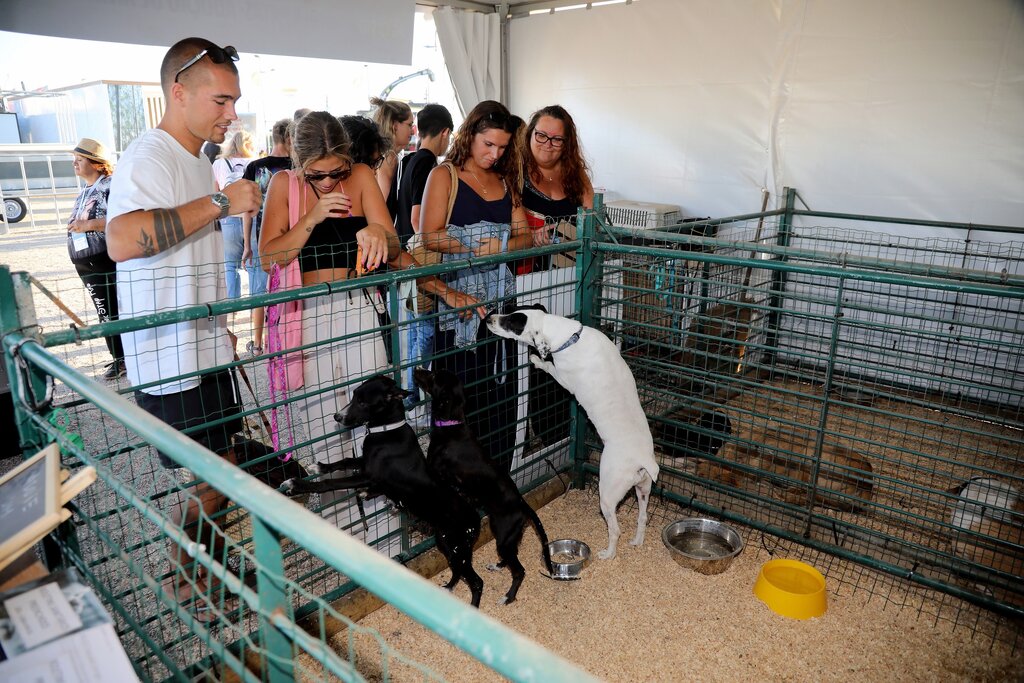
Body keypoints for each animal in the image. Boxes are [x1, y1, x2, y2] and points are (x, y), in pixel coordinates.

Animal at [282, 376, 485, 606]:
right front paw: (321, 467)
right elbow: (345, 460)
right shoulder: (364, 463)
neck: (387, 430)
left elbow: (333, 483)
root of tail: (476, 519)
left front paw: (296, 485)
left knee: (477, 582)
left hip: (456, 548)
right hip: (447, 544)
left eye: (363, 402)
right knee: (460, 573)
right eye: (353, 395)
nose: (337, 416)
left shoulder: (368, 474)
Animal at [413, 368, 557, 602]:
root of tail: (522, 503)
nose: (417, 370)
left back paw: (508, 597)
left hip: (504, 538)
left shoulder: (437, 476)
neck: (452, 427)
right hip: (507, 537)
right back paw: (497, 567)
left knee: (519, 570)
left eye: (434, 376)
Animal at [483, 305, 659, 561]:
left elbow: (548, 366)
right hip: (643, 489)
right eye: (511, 313)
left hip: (608, 494)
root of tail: (643, 460)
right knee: (643, 516)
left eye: (513, 324)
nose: (489, 319)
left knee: (615, 529)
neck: (571, 337)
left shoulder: (564, 378)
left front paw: (536, 359)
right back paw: (637, 541)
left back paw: (608, 554)